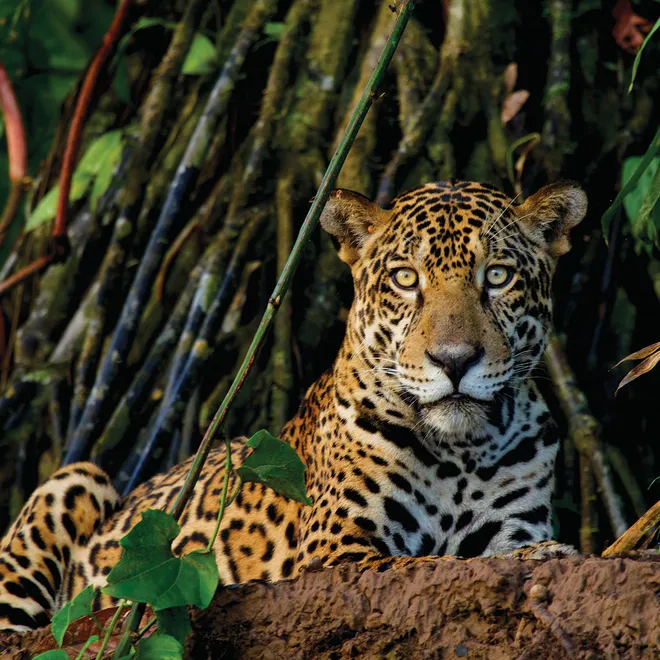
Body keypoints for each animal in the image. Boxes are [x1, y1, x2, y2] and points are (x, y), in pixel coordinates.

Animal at [0, 179, 587, 632]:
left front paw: (540, 555)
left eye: (497, 276)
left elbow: (489, 553)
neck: (461, 450)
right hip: (74, 481)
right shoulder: (339, 552)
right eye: (405, 278)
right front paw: (545, 556)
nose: (454, 359)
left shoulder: (509, 522)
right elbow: (426, 563)